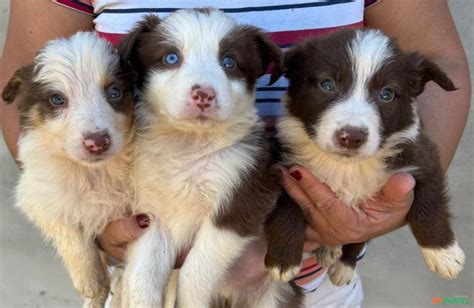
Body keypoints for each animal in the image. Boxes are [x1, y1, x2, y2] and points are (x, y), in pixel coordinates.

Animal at [2, 32, 135, 306]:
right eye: (57, 99)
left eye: (114, 92)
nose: (98, 142)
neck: (93, 172)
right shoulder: (39, 195)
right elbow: (68, 230)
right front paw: (90, 282)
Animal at [120, 9, 302, 308]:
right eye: (171, 58)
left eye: (229, 61)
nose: (203, 94)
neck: (189, 146)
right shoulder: (153, 214)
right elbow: (143, 275)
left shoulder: (242, 197)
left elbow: (194, 271)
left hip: (277, 295)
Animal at [266, 28, 466, 286]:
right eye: (327, 84)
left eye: (387, 94)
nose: (351, 137)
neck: (347, 166)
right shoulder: (285, 164)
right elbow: (286, 206)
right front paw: (283, 260)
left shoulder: (423, 156)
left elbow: (430, 202)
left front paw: (443, 253)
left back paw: (343, 264)